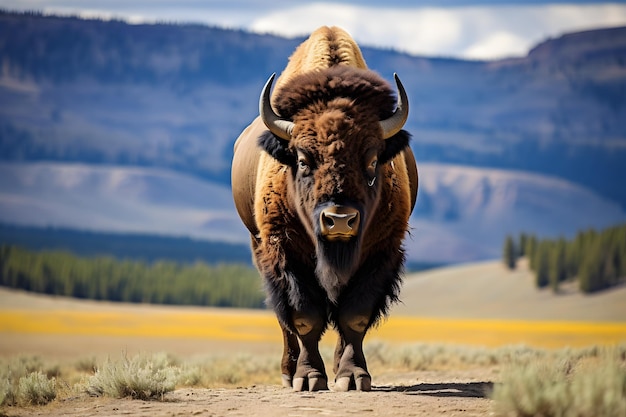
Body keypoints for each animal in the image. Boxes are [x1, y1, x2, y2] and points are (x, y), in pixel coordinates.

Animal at [232, 27, 416, 392]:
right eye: (303, 160)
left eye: (372, 160)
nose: (339, 220)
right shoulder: (285, 250)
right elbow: (304, 316)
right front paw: (308, 378)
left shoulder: (381, 251)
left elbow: (354, 315)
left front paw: (353, 377)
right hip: (258, 246)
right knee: (284, 319)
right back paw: (289, 372)